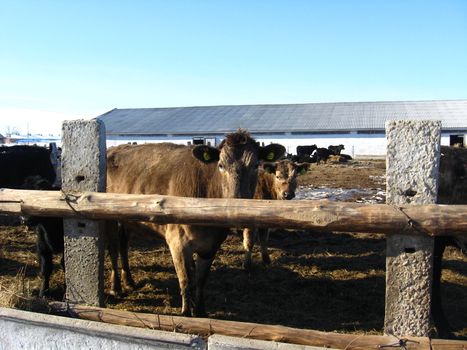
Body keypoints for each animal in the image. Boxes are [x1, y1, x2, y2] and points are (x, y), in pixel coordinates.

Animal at [107, 131, 286, 318]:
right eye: (220, 165)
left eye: (256, 165)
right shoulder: (177, 242)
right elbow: (185, 279)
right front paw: (186, 313)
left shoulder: (212, 245)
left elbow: (201, 279)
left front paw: (200, 311)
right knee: (113, 249)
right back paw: (115, 287)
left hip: (126, 220)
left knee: (123, 246)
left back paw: (129, 281)